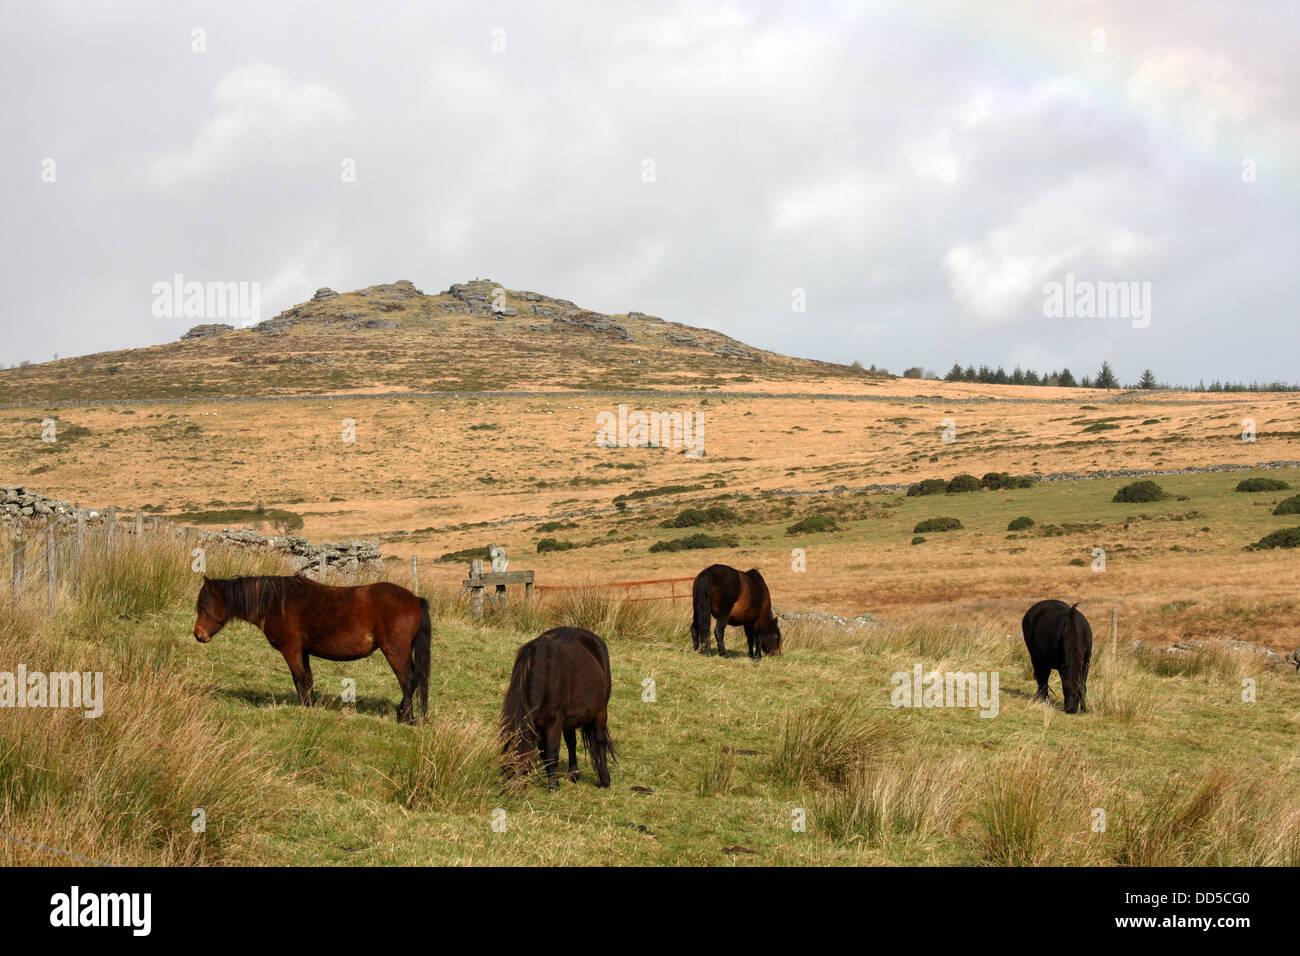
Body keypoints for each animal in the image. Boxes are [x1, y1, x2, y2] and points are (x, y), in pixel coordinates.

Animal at [192, 574, 431, 724]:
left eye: (202, 606)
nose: (198, 635)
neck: (275, 602)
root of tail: (415, 599)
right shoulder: (303, 651)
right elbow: (308, 680)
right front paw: (312, 706)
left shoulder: (291, 650)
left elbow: (300, 680)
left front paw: (306, 709)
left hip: (395, 651)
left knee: (408, 681)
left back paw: (406, 719)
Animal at [499, 627, 614, 789]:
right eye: (505, 771)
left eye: (517, 771)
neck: (543, 673)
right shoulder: (538, 724)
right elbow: (544, 752)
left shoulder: (554, 721)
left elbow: (552, 754)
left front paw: (553, 786)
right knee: (571, 742)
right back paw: (573, 774)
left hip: (601, 710)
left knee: (599, 741)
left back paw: (604, 779)